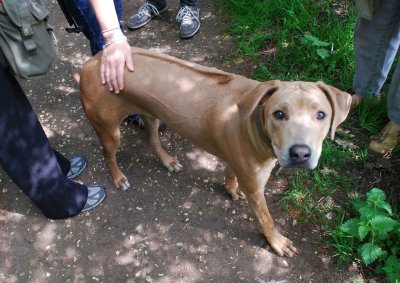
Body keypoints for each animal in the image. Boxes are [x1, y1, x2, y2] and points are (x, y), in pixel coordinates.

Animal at [79, 47, 352, 258]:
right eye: (279, 114)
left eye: (321, 114)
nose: (300, 154)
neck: (254, 121)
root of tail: (92, 62)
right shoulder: (255, 187)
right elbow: (267, 219)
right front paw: (277, 242)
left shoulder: (238, 161)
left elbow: (230, 174)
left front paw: (231, 189)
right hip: (109, 130)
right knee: (108, 154)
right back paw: (118, 178)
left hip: (152, 113)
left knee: (154, 140)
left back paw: (168, 161)